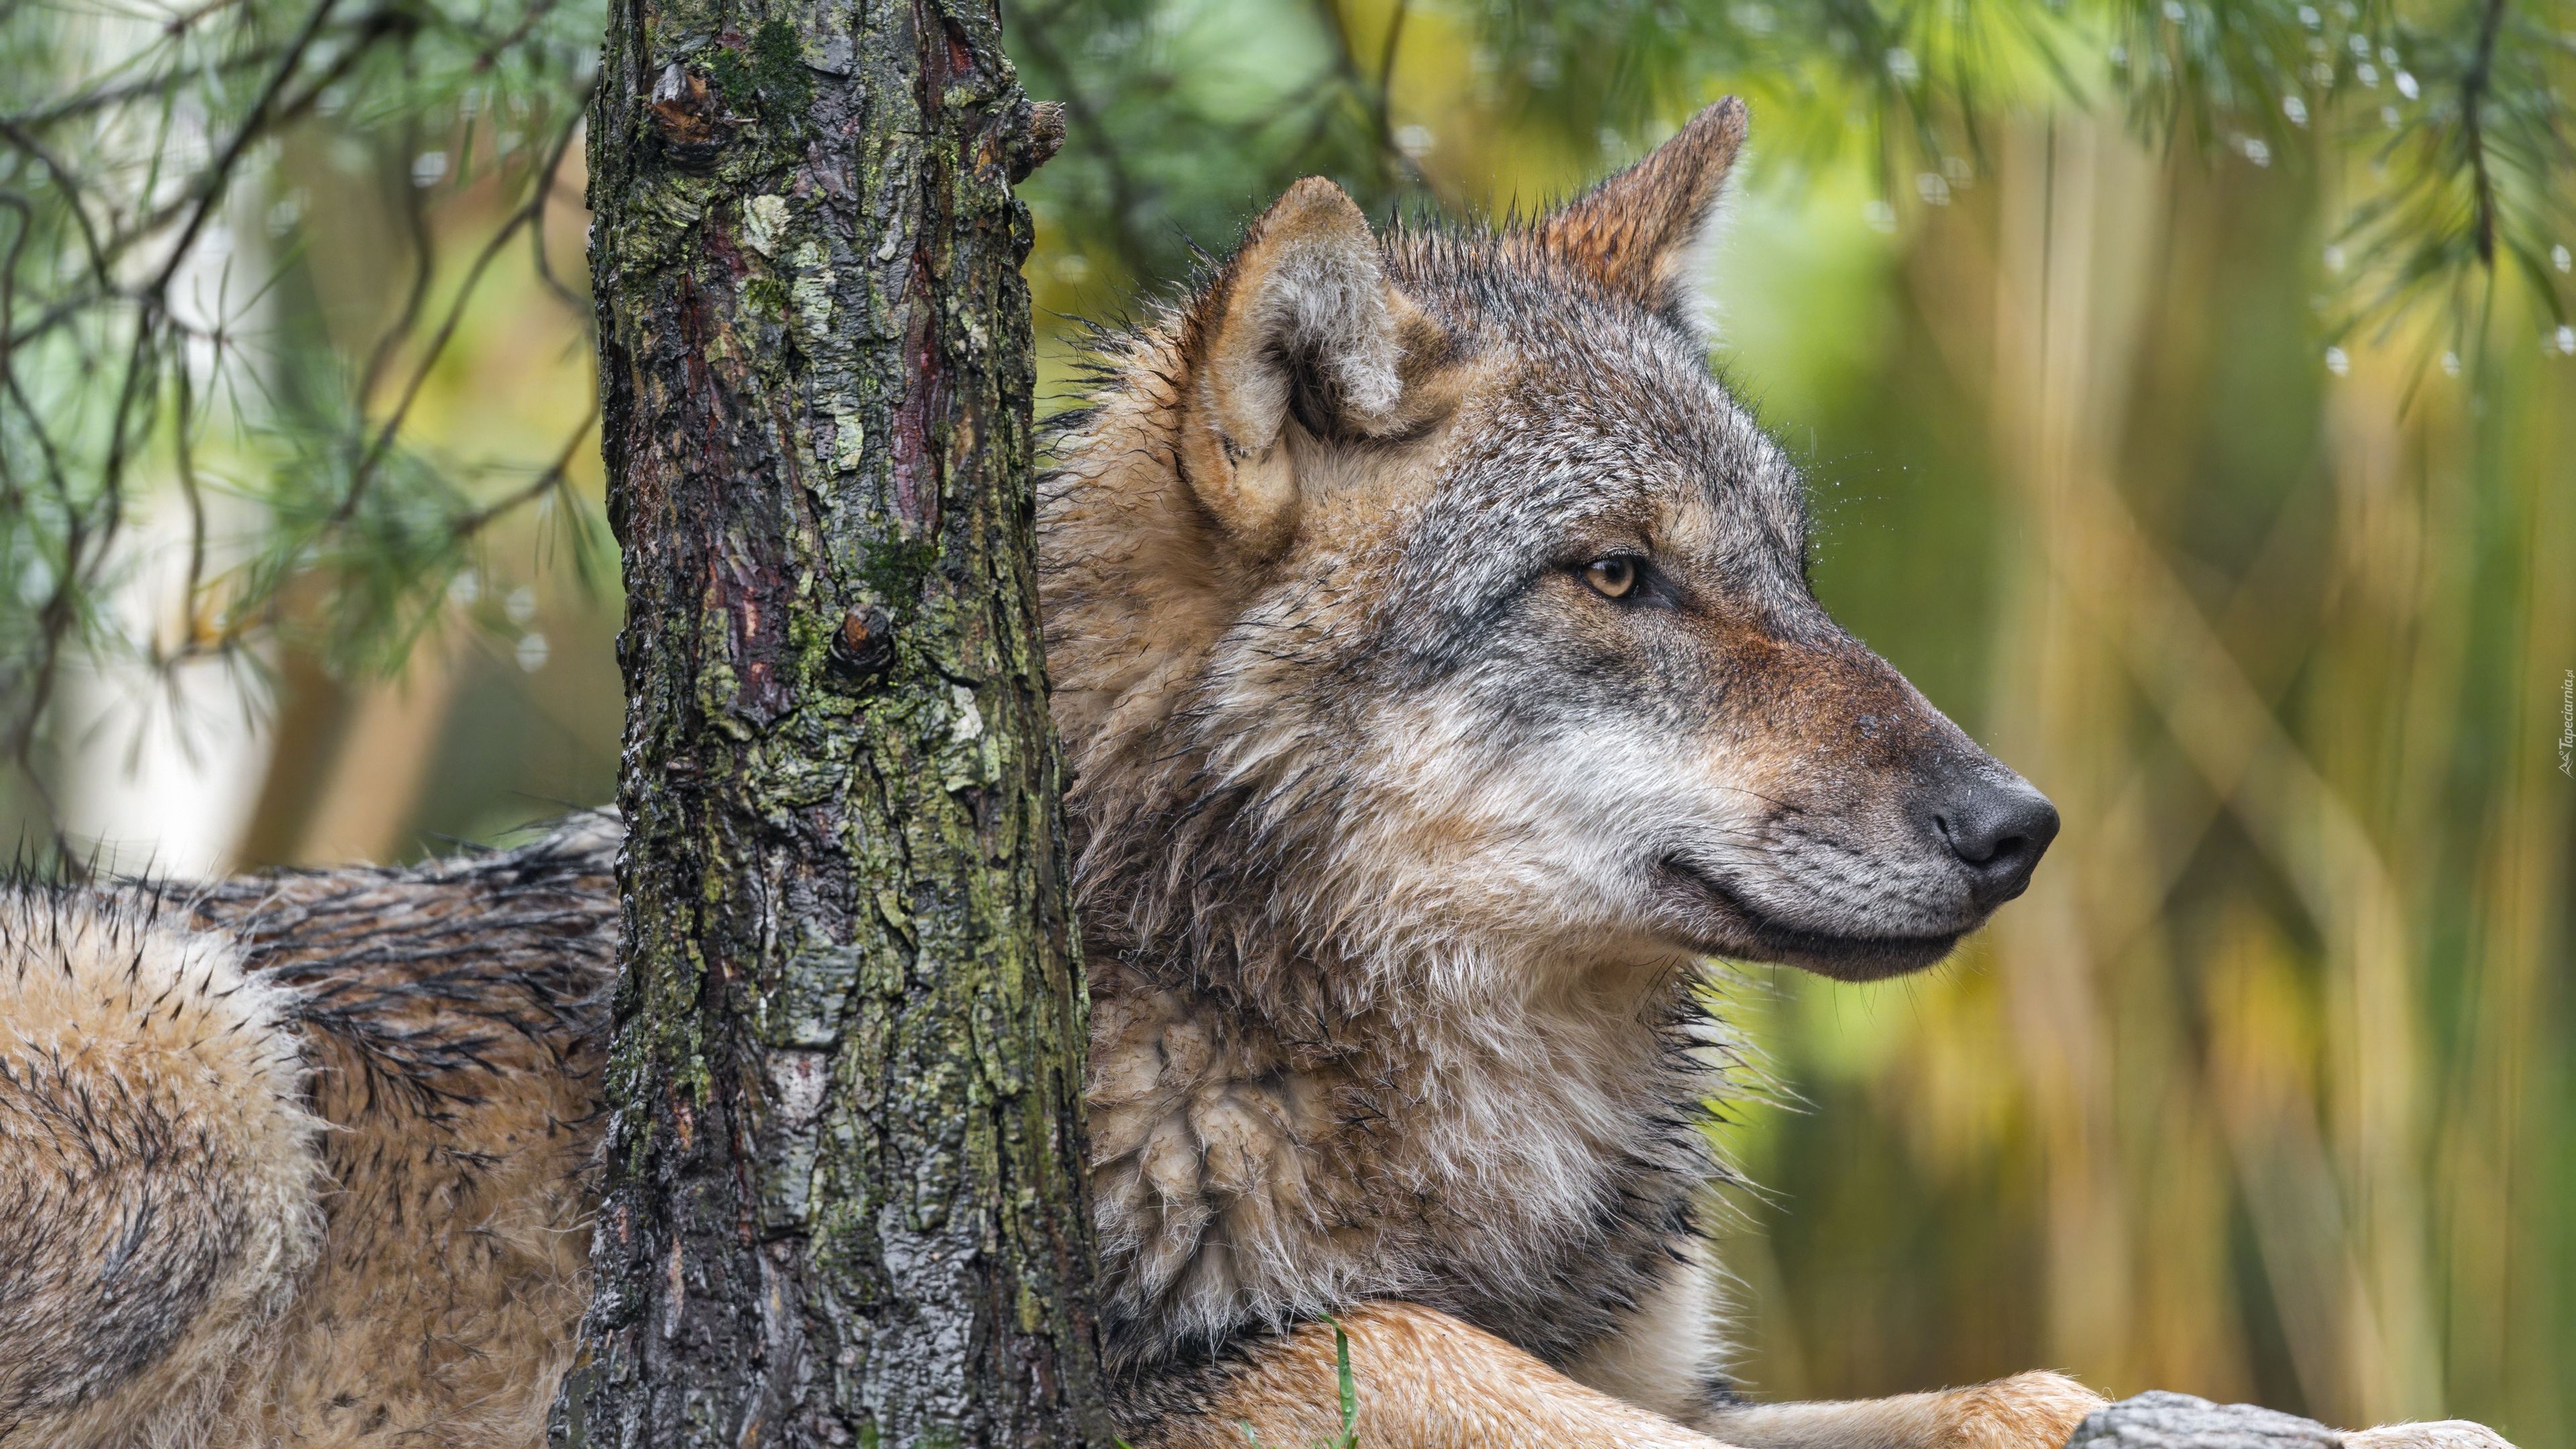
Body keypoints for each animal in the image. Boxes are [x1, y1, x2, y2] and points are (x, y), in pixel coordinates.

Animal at [0, 99, 2504, 1444]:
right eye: (1616, 577)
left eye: (1783, 571)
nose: (2017, 828)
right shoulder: (1111, 1392)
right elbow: (1434, 1353)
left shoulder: (1661, 1366)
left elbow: (1956, 1396)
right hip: (194, 1070)